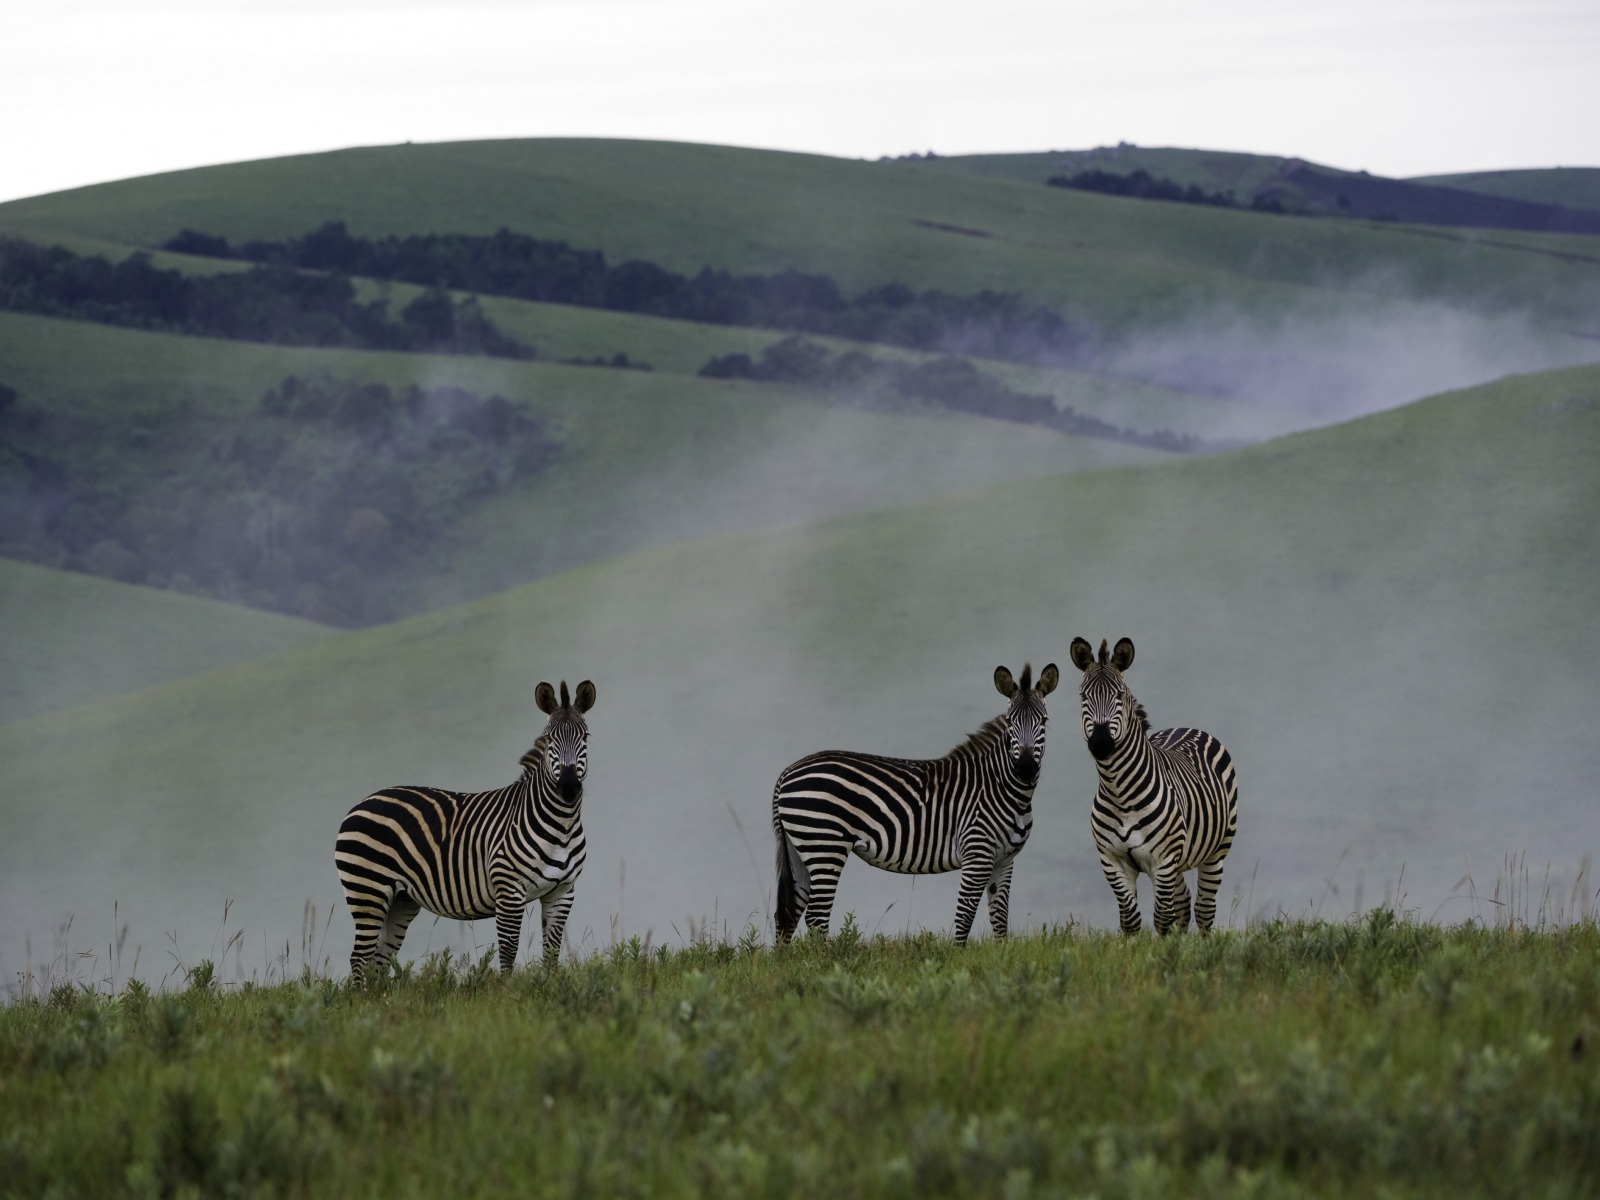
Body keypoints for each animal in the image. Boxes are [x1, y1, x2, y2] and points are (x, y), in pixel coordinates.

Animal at [334, 679, 595, 982]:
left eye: (585, 737)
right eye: (550, 739)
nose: (568, 788)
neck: (561, 826)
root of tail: (361, 803)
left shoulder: (562, 891)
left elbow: (552, 952)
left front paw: (551, 986)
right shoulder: (508, 889)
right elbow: (508, 950)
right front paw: (508, 990)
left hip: (400, 899)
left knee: (378, 959)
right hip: (367, 892)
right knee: (359, 958)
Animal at [773, 663, 1059, 945]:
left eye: (1044, 721)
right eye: (1010, 722)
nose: (1025, 769)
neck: (1002, 789)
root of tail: (786, 772)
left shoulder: (1005, 859)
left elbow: (1000, 919)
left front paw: (1001, 954)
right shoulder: (977, 855)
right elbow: (965, 916)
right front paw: (958, 956)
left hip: (802, 849)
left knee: (788, 913)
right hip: (825, 846)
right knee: (816, 916)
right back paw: (824, 957)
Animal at [1069, 637, 1238, 935]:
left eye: (1119, 696)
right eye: (1083, 697)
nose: (1100, 743)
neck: (1119, 791)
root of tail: (1188, 727)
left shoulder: (1162, 861)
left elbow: (1162, 918)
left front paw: (1163, 949)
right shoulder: (1112, 861)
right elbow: (1130, 919)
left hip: (1217, 850)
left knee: (1203, 910)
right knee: (1183, 904)